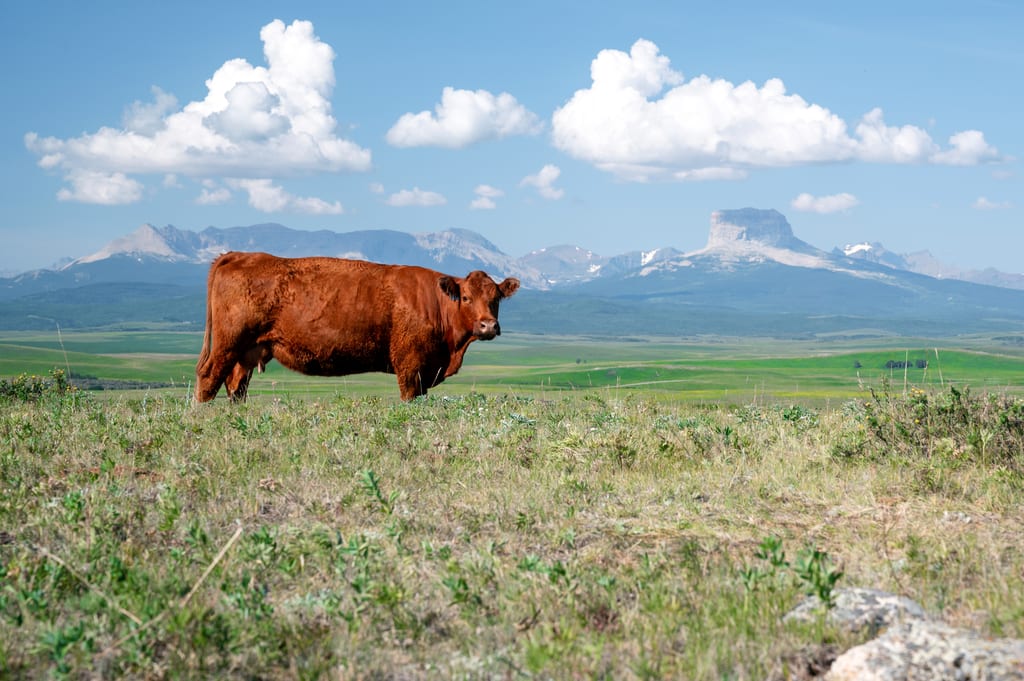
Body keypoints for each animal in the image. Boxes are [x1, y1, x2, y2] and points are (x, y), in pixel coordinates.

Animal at [195, 252, 519, 402]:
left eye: (497, 298)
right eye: (466, 297)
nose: (488, 326)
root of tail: (239, 255)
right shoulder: (410, 366)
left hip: (247, 351)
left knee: (236, 386)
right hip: (227, 343)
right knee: (208, 378)